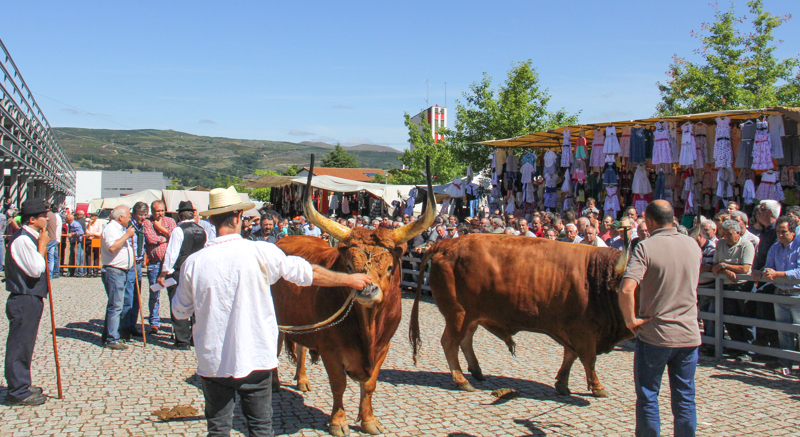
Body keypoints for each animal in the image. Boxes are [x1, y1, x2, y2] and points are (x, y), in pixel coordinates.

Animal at [270, 156, 434, 432]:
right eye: (348, 266)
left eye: (390, 268)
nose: (367, 289)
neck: (368, 327)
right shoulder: (330, 350)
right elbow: (339, 385)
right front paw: (338, 422)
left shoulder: (383, 347)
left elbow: (369, 385)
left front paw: (369, 421)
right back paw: (272, 384)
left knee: (301, 348)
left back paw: (302, 380)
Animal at [412, 233, 632, 396]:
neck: (594, 279)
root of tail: (446, 244)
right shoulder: (582, 331)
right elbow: (588, 358)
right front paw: (597, 387)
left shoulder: (572, 331)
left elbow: (571, 356)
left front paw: (562, 383)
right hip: (458, 314)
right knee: (450, 343)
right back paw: (461, 380)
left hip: (470, 316)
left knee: (465, 340)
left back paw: (477, 372)